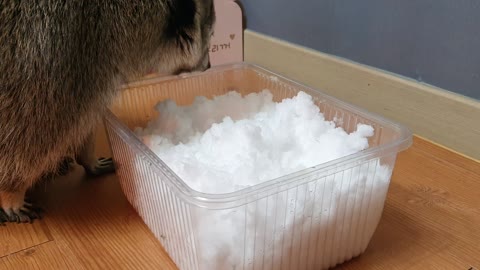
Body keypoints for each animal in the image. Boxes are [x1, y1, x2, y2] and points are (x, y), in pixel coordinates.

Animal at [0, 0, 215, 224]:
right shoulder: (48, 55)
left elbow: (85, 121)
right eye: (211, 36)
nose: (209, 66)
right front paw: (10, 193)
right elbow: (28, 134)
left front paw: (87, 158)